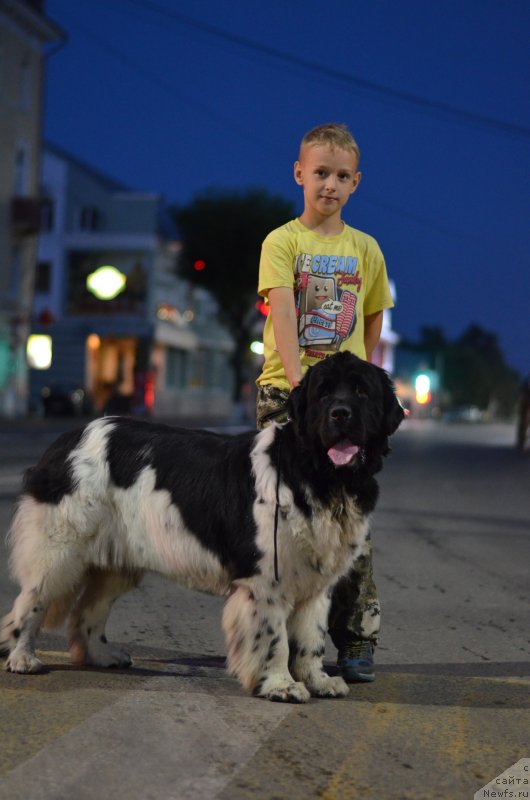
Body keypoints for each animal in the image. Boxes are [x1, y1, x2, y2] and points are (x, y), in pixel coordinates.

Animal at [0, 354, 402, 704]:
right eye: (324, 394)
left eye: (362, 391)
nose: (340, 413)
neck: (318, 475)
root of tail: (69, 437)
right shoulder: (266, 580)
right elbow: (275, 638)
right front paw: (280, 685)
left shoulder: (316, 581)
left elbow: (311, 638)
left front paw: (318, 680)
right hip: (60, 548)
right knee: (31, 601)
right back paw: (22, 657)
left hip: (116, 561)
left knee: (87, 612)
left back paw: (101, 654)